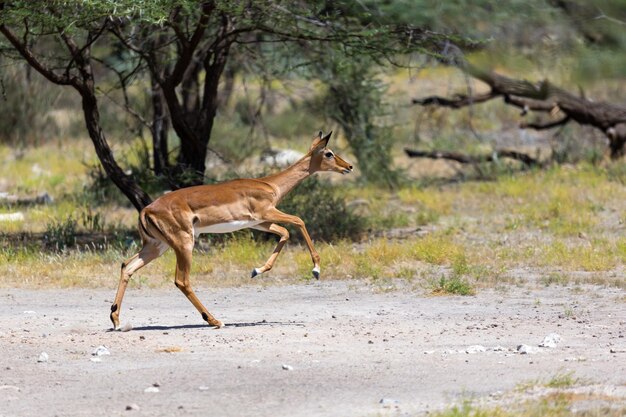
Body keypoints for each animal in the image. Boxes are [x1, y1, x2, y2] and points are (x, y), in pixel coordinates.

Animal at [108, 130, 352, 328]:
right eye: (329, 153)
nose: (349, 166)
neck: (270, 186)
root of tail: (146, 210)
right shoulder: (266, 213)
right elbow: (299, 221)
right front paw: (316, 269)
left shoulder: (260, 222)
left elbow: (285, 232)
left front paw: (257, 270)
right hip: (184, 244)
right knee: (182, 280)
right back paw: (215, 320)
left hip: (156, 247)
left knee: (127, 266)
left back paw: (116, 320)